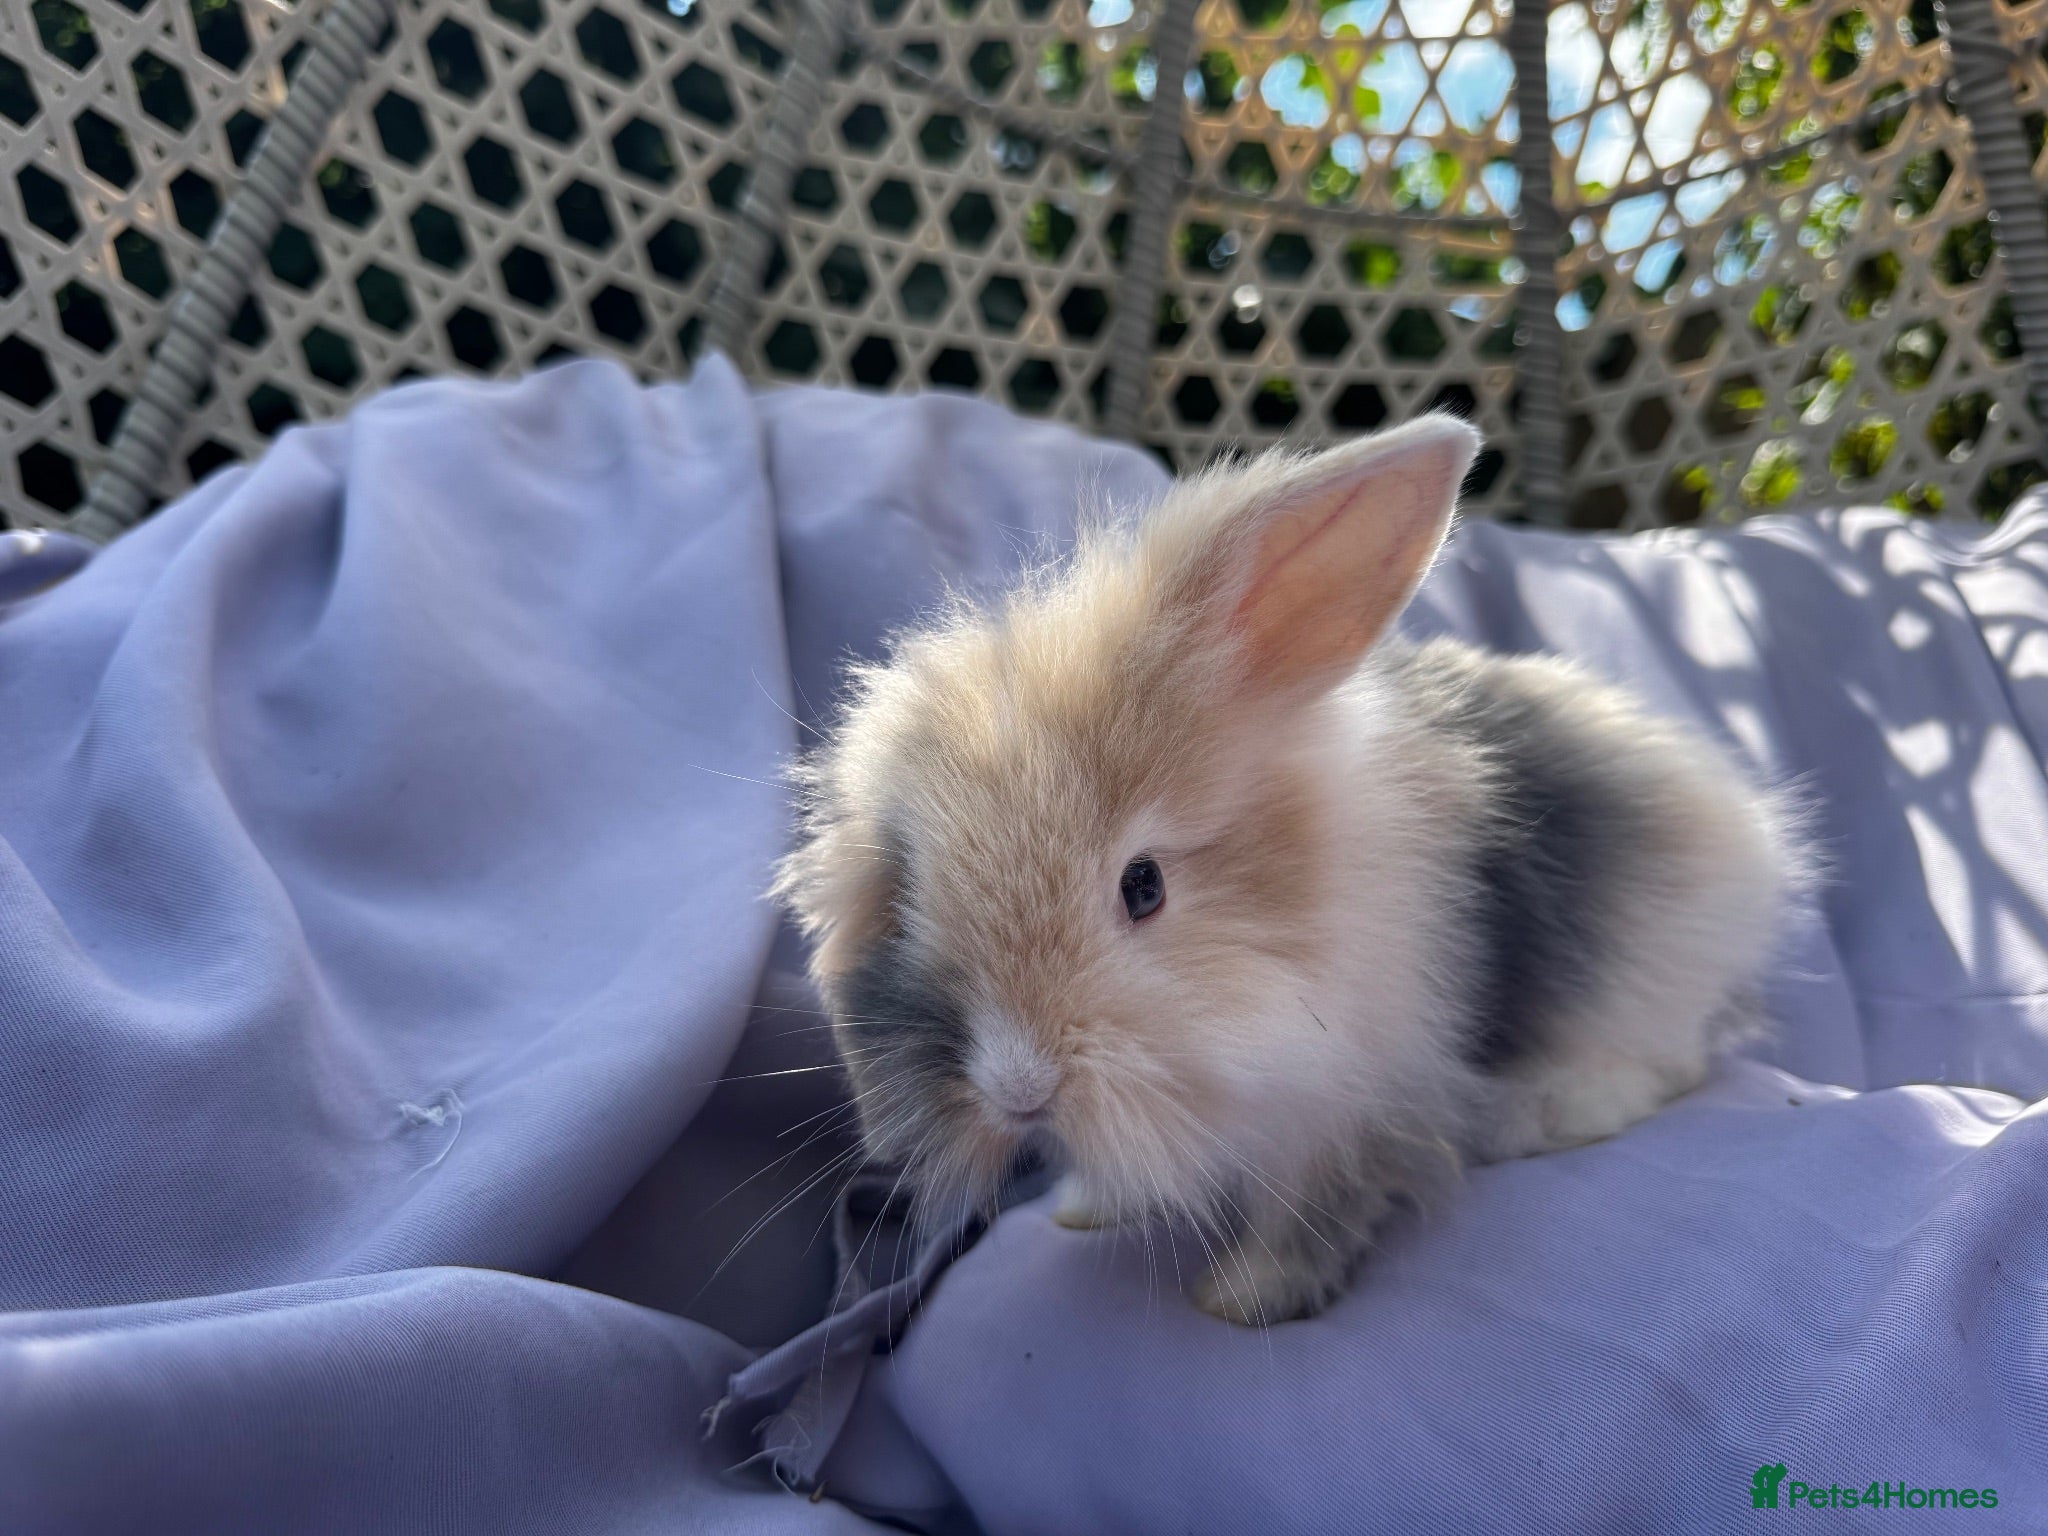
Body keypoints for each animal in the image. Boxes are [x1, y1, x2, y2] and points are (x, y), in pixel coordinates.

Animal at [774, 416, 1797, 1325]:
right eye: (907, 897)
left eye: (1143, 885)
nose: (1019, 1087)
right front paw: (1085, 1211)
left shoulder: (1353, 1108)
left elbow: (1309, 1220)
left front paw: (1241, 1301)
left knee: (1667, 1064)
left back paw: (1543, 1117)